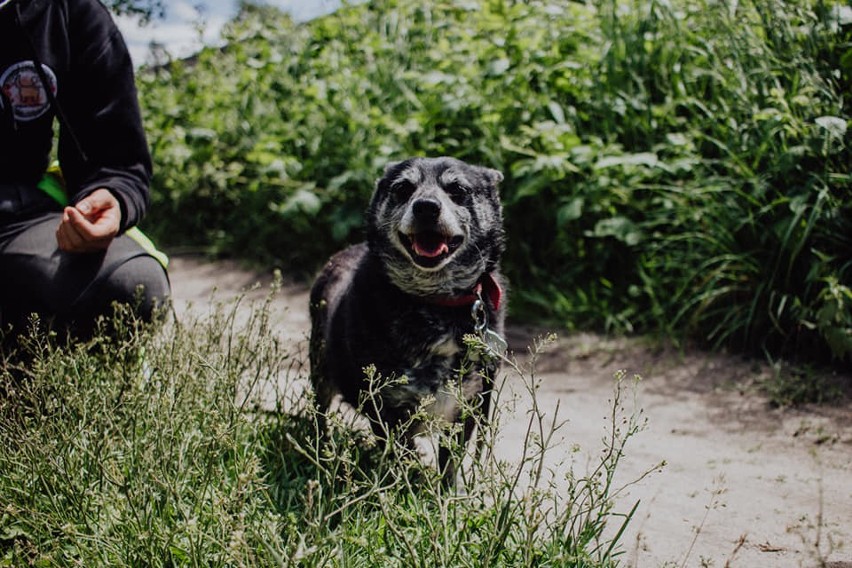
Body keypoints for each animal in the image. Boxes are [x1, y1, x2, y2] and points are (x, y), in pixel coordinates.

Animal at [308, 156, 506, 484]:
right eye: (403, 189)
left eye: (457, 189)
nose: (426, 207)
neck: (435, 301)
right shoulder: (385, 408)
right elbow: (402, 456)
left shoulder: (469, 404)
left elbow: (450, 464)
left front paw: (445, 494)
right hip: (321, 369)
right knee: (320, 414)